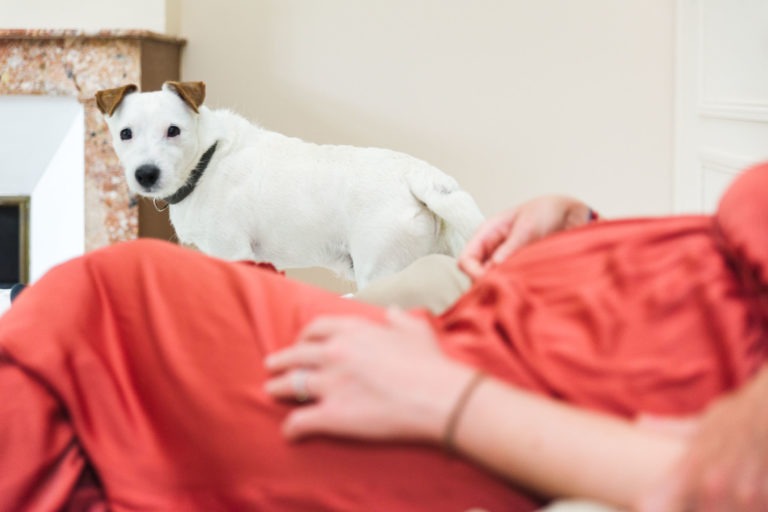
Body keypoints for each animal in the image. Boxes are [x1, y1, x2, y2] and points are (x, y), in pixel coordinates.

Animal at [93, 81, 484, 288]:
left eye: (173, 130)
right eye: (125, 134)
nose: (146, 173)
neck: (207, 159)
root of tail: (419, 174)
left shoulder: (234, 252)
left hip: (381, 273)